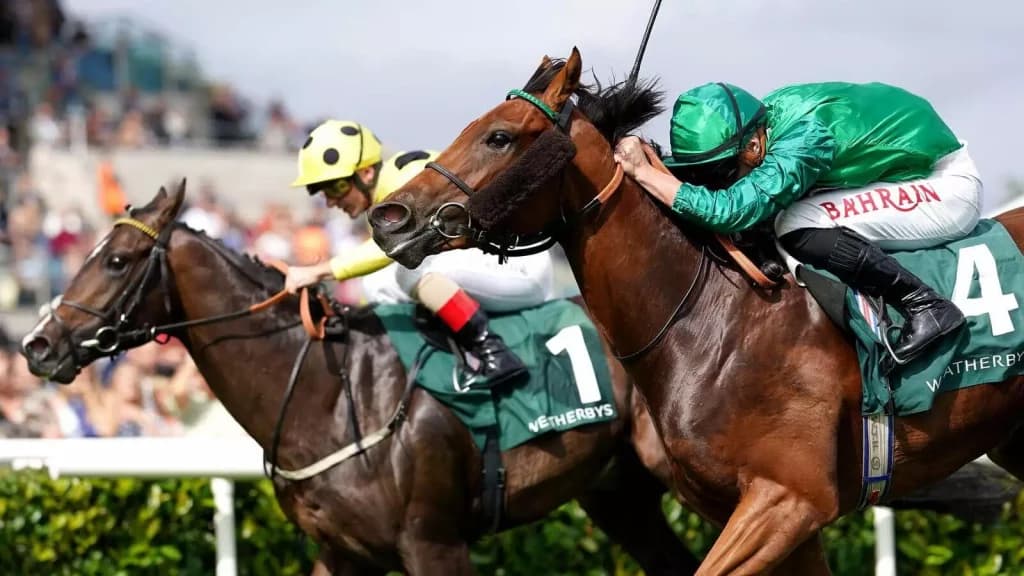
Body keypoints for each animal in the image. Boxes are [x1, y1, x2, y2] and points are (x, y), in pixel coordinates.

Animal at [18, 181, 700, 576]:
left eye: (116, 260)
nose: (36, 344)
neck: (333, 398)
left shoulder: (434, 544)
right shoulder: (340, 553)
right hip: (620, 495)